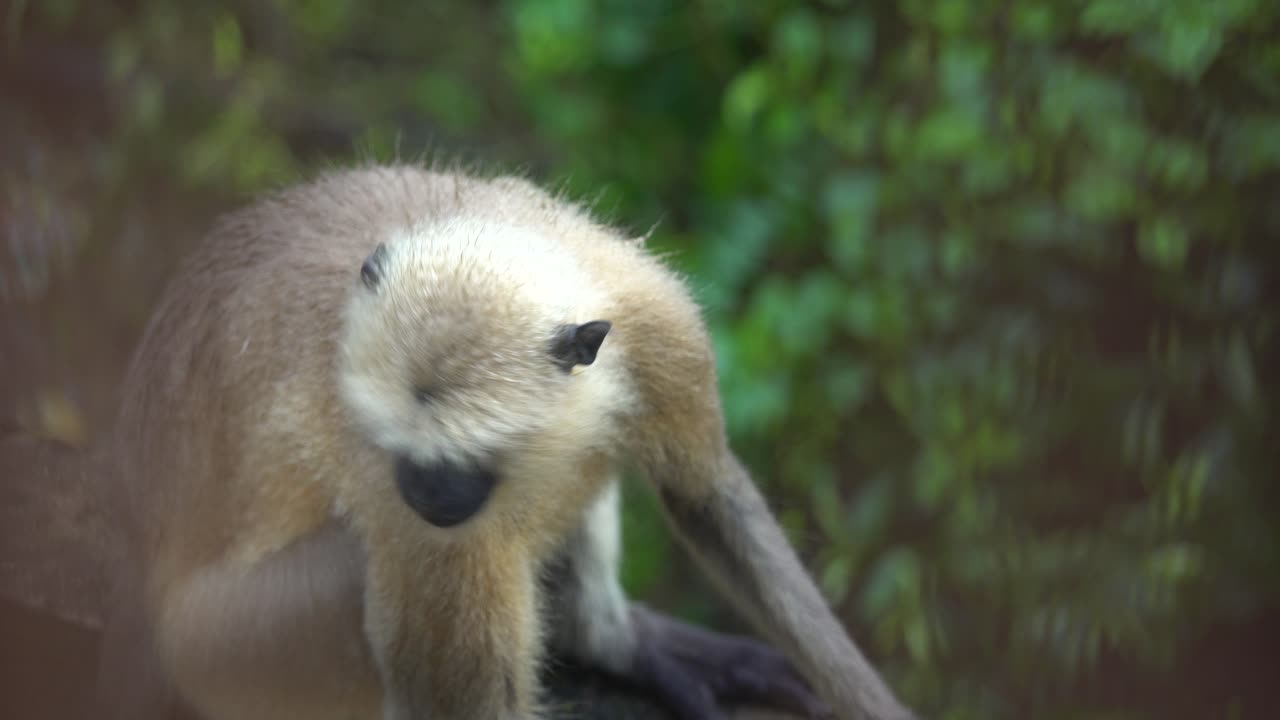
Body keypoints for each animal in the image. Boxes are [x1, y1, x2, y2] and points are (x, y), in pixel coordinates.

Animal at [86, 163, 917, 720]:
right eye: (405, 455)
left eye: (457, 461)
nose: (425, 496)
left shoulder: (657, 322)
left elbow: (708, 497)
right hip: (225, 646)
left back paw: (610, 640)